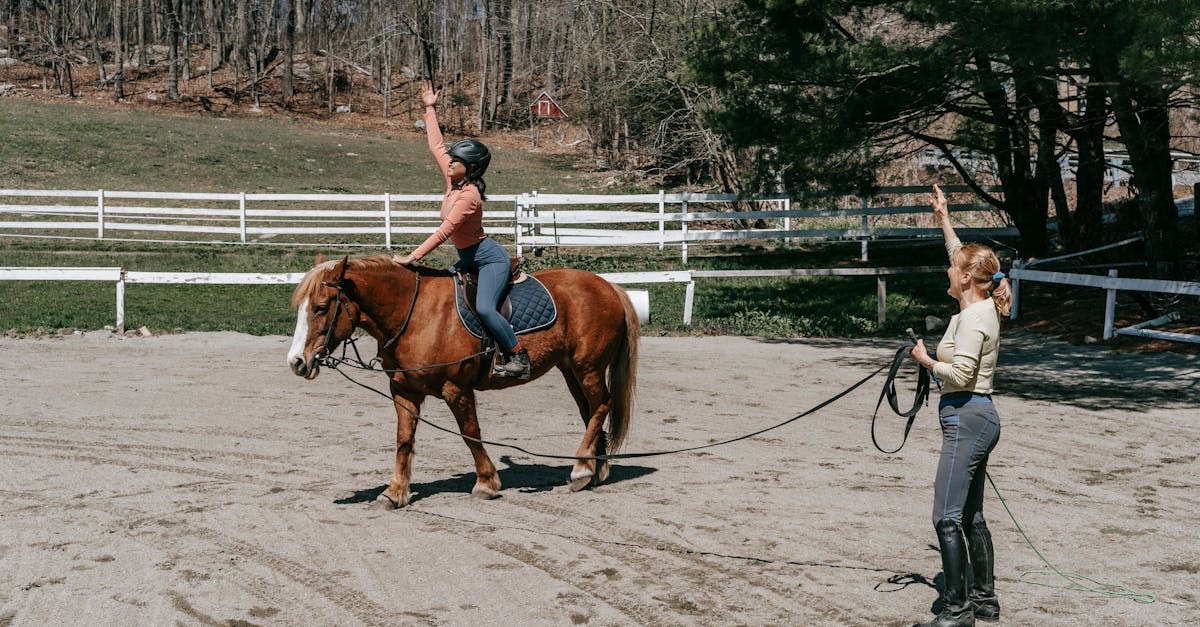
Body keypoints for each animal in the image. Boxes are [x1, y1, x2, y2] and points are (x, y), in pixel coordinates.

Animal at [286, 254, 639, 509]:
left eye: (321, 307)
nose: (297, 362)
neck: (416, 314)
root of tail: (609, 287)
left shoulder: (456, 389)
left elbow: (470, 434)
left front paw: (486, 483)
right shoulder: (403, 391)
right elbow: (404, 441)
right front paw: (394, 492)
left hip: (587, 367)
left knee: (602, 405)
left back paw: (581, 470)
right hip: (571, 370)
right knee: (591, 411)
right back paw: (596, 468)